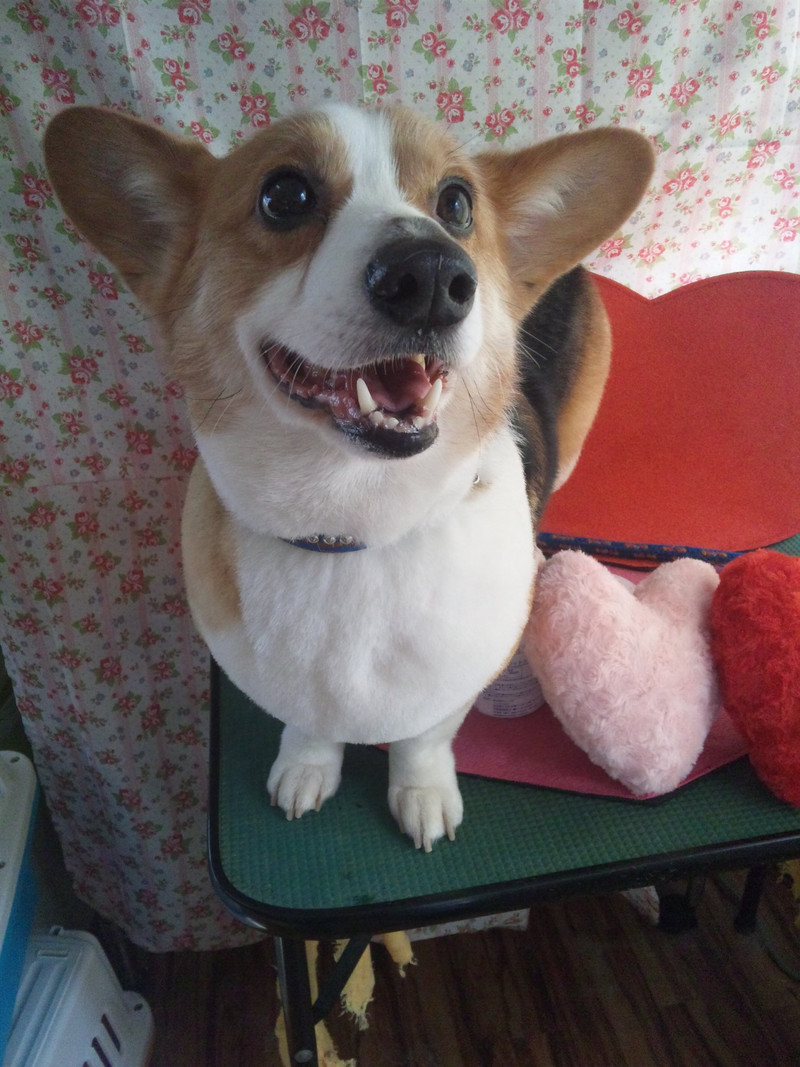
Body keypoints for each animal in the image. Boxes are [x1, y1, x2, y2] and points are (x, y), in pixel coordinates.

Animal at [44, 103, 652, 850]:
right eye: (284, 195)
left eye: (457, 203)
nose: (431, 275)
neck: (348, 527)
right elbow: (308, 723)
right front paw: (308, 766)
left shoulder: (451, 686)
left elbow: (424, 738)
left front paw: (421, 792)